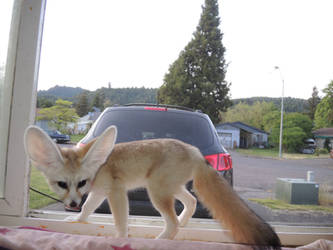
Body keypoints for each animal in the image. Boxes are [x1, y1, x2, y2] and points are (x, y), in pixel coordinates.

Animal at [24, 125, 280, 248]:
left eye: (81, 182)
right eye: (61, 184)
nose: (72, 203)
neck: (99, 167)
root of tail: (195, 151)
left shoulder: (115, 192)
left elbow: (121, 222)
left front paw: (119, 238)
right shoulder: (99, 193)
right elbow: (88, 209)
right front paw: (78, 219)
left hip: (157, 192)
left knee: (173, 224)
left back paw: (161, 240)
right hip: (170, 189)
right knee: (191, 202)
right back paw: (184, 222)